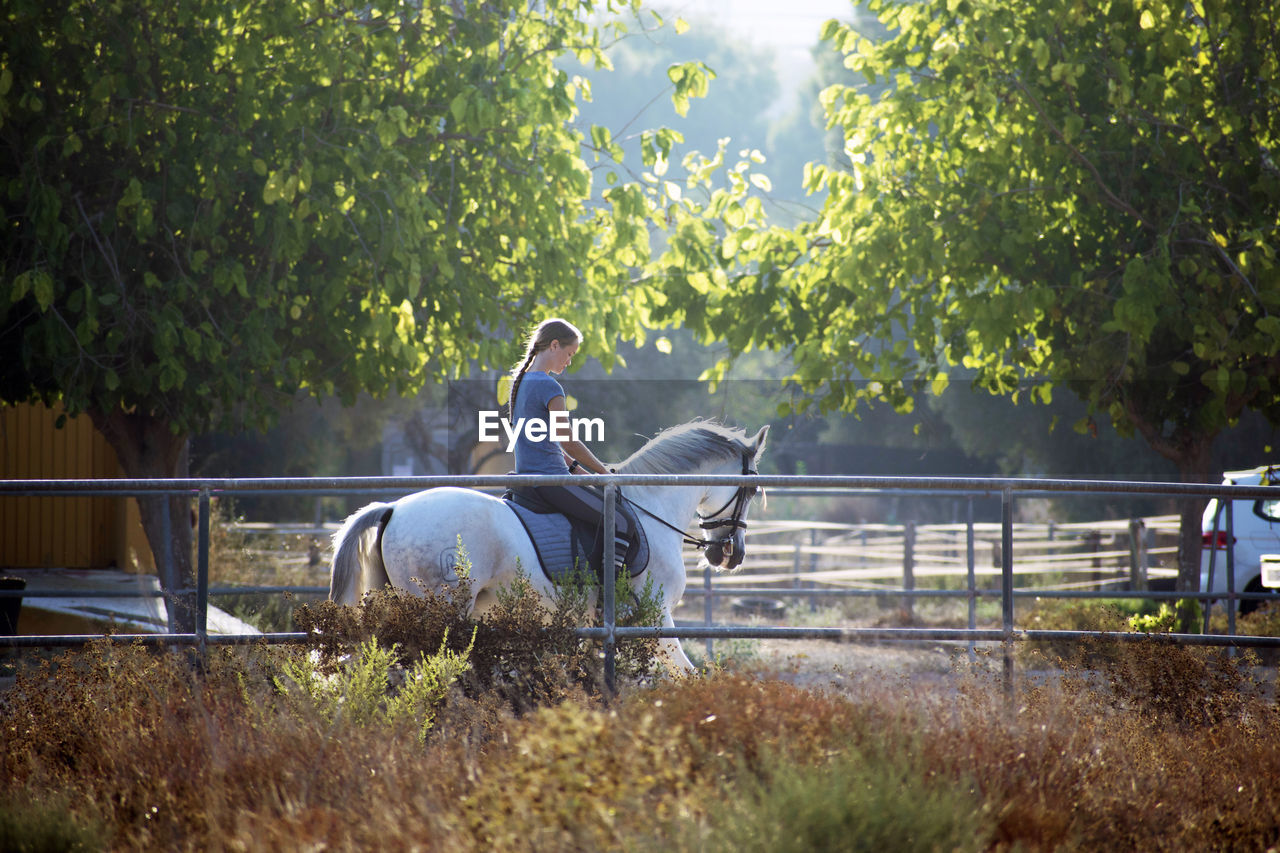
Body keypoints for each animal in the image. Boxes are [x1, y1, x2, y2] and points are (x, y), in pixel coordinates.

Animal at [330, 417, 768, 671]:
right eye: (750, 489)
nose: (732, 555)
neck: (650, 507)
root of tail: (393, 509)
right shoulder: (653, 615)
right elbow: (683, 675)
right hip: (439, 612)